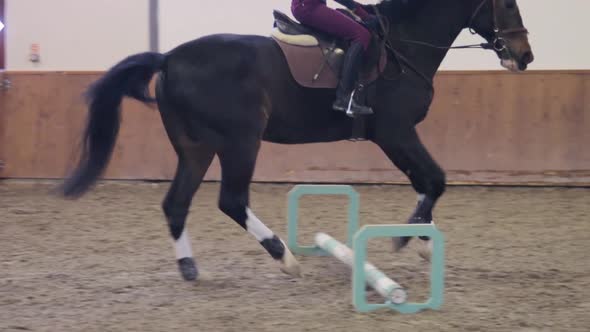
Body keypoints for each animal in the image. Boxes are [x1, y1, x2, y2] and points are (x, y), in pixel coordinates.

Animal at [59, 0, 536, 282]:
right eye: (506, 3)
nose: (525, 56)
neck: (403, 45)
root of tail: (169, 57)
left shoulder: (399, 136)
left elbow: (427, 183)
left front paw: (421, 240)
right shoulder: (394, 132)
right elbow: (434, 180)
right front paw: (408, 240)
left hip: (196, 147)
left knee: (176, 203)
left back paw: (190, 268)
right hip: (240, 141)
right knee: (231, 200)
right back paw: (284, 257)